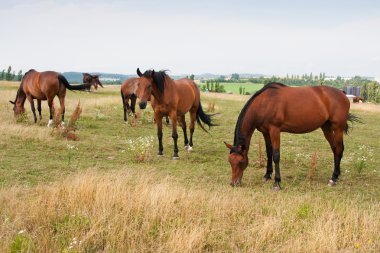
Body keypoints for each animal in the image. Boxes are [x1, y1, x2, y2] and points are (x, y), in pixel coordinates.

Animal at [226, 82, 360, 191]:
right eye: (230, 161)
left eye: (241, 161)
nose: (234, 183)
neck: (265, 103)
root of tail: (342, 93)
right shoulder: (265, 132)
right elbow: (269, 152)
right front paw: (267, 175)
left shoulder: (275, 130)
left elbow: (276, 155)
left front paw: (277, 183)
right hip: (326, 127)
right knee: (335, 149)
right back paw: (336, 175)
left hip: (338, 128)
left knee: (339, 149)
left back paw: (333, 178)